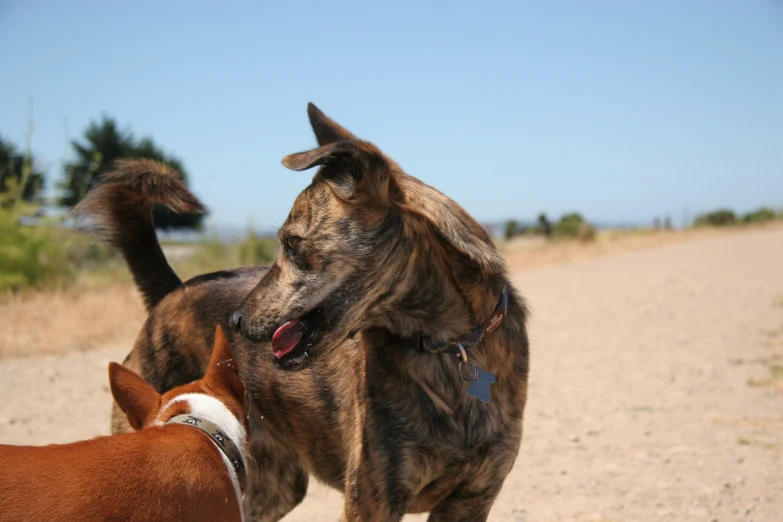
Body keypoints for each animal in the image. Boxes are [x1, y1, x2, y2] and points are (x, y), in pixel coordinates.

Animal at [76, 103, 532, 516]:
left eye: (292, 244)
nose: (235, 321)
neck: (449, 348)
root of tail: (171, 292)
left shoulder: (471, 501)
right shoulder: (372, 501)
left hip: (274, 487)